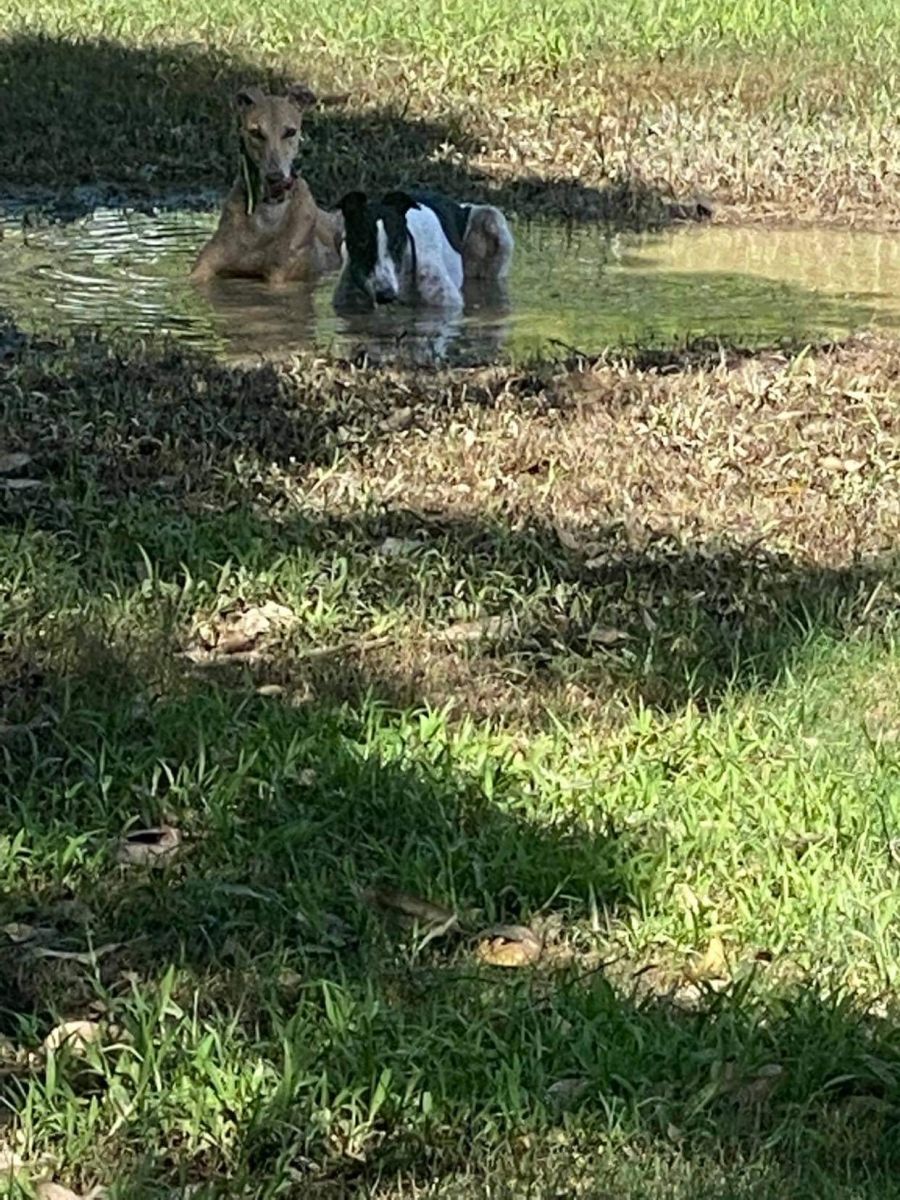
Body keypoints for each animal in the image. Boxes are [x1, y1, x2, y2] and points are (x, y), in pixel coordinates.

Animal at [191, 84, 344, 285]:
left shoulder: (280, 275)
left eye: (290, 131)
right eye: (255, 132)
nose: (275, 178)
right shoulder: (204, 267)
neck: (267, 216)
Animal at [333, 189, 513, 311]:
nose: (385, 295)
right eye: (362, 242)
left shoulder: (447, 304)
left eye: (397, 242)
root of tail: (460, 207)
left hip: (493, 222)